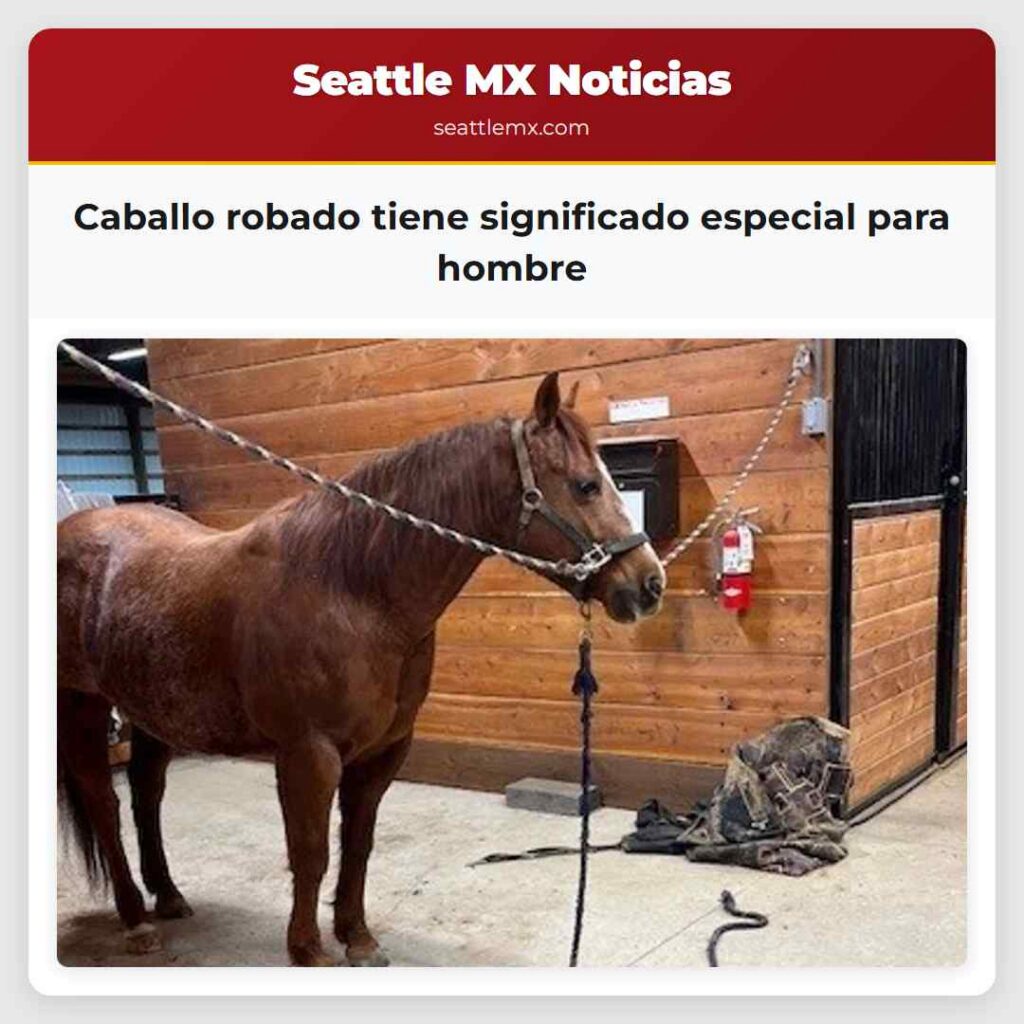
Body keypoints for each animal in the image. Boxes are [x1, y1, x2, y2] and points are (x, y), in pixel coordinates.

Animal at [57, 371, 667, 966]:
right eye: (586, 485)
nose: (649, 583)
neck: (353, 591)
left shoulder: (382, 751)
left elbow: (358, 844)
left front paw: (357, 937)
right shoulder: (308, 754)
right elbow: (311, 851)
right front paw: (308, 950)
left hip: (152, 710)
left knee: (146, 795)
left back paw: (167, 896)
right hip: (82, 707)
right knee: (104, 803)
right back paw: (135, 920)